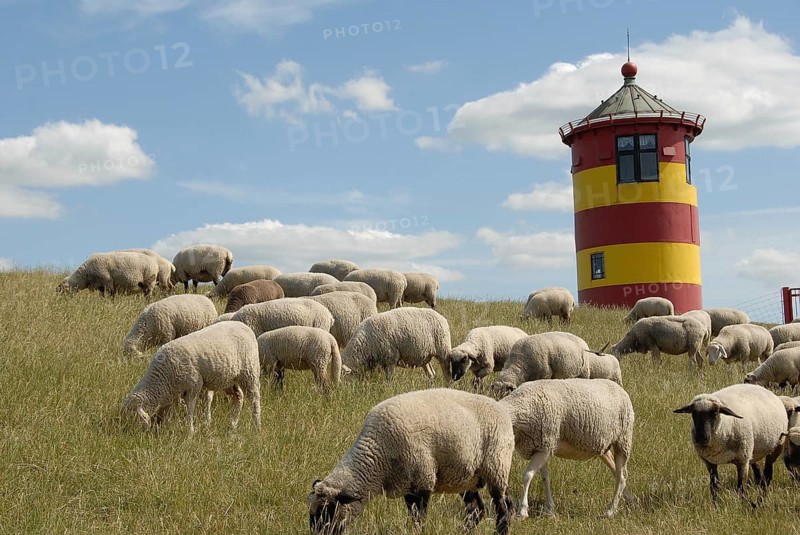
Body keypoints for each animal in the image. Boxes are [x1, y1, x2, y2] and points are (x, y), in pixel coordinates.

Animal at [121, 321, 261, 434]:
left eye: (131, 416)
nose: (126, 433)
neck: (163, 377)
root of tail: (244, 326)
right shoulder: (174, 391)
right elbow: (169, 409)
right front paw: (164, 425)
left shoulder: (194, 385)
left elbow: (190, 408)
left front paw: (190, 430)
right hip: (229, 379)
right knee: (238, 397)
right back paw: (232, 425)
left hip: (249, 371)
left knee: (254, 399)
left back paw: (256, 426)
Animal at [308, 388, 515, 535]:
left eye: (328, 510)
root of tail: (502, 409)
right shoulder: (408, 486)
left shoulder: (422, 481)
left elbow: (418, 521)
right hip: (467, 477)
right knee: (477, 511)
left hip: (497, 465)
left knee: (503, 509)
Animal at [498, 378, 634, 518]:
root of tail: (619, 388)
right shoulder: (542, 447)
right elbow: (545, 478)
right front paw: (550, 509)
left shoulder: (545, 447)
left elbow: (527, 476)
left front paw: (523, 511)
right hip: (604, 447)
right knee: (618, 473)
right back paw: (629, 500)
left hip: (623, 440)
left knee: (621, 477)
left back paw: (611, 510)